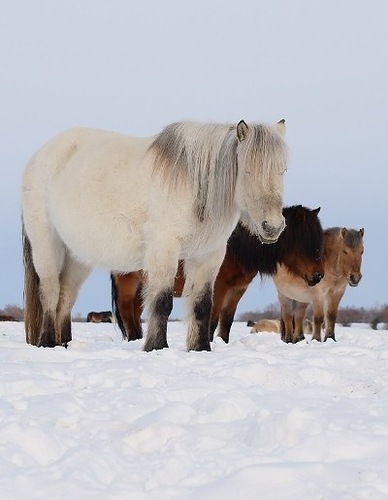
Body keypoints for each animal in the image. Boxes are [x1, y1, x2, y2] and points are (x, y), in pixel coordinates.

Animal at [22, 119, 288, 350]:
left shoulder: (208, 256)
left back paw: (63, 344)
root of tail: (39, 155)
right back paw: (47, 342)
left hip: (77, 256)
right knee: (50, 291)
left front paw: (200, 348)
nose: (273, 227)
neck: (194, 186)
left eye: (283, 169)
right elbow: (161, 302)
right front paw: (156, 346)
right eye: (247, 170)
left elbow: (202, 305)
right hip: (47, 244)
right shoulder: (164, 249)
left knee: (65, 296)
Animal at [111, 204, 324, 344]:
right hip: (127, 282)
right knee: (127, 312)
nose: (319, 275)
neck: (236, 249)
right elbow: (212, 320)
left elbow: (226, 321)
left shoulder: (237, 291)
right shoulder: (218, 287)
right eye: (305, 240)